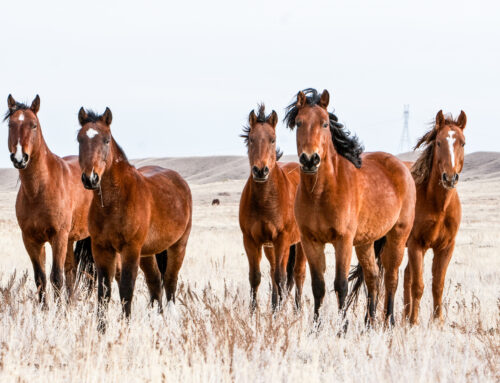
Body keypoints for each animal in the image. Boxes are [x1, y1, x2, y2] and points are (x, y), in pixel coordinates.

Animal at [4, 94, 94, 304]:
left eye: (34, 125)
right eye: (11, 124)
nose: (19, 158)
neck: (38, 190)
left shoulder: (58, 237)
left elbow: (56, 278)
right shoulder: (31, 240)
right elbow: (41, 279)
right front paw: (46, 310)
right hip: (71, 239)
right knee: (71, 272)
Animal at [238, 105, 304, 312]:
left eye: (272, 139)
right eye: (251, 139)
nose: (261, 171)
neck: (265, 200)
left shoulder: (282, 240)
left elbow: (281, 277)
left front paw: (279, 314)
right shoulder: (251, 241)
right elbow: (255, 277)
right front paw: (254, 313)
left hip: (299, 244)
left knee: (297, 274)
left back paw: (297, 311)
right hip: (271, 248)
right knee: (276, 272)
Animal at [288, 90, 416, 328]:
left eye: (325, 123)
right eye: (299, 123)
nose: (310, 159)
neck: (320, 193)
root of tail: (402, 167)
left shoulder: (343, 241)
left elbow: (340, 285)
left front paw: (342, 327)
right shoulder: (310, 241)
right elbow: (318, 285)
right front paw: (316, 327)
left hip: (397, 236)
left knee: (391, 278)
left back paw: (390, 321)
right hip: (365, 243)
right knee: (372, 277)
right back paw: (369, 322)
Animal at [400, 110, 466, 324]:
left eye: (463, 143)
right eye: (438, 142)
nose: (450, 177)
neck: (439, 206)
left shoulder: (445, 247)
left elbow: (437, 285)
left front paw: (438, 322)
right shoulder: (416, 245)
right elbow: (418, 286)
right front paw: (414, 322)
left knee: (405, 276)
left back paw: (403, 318)